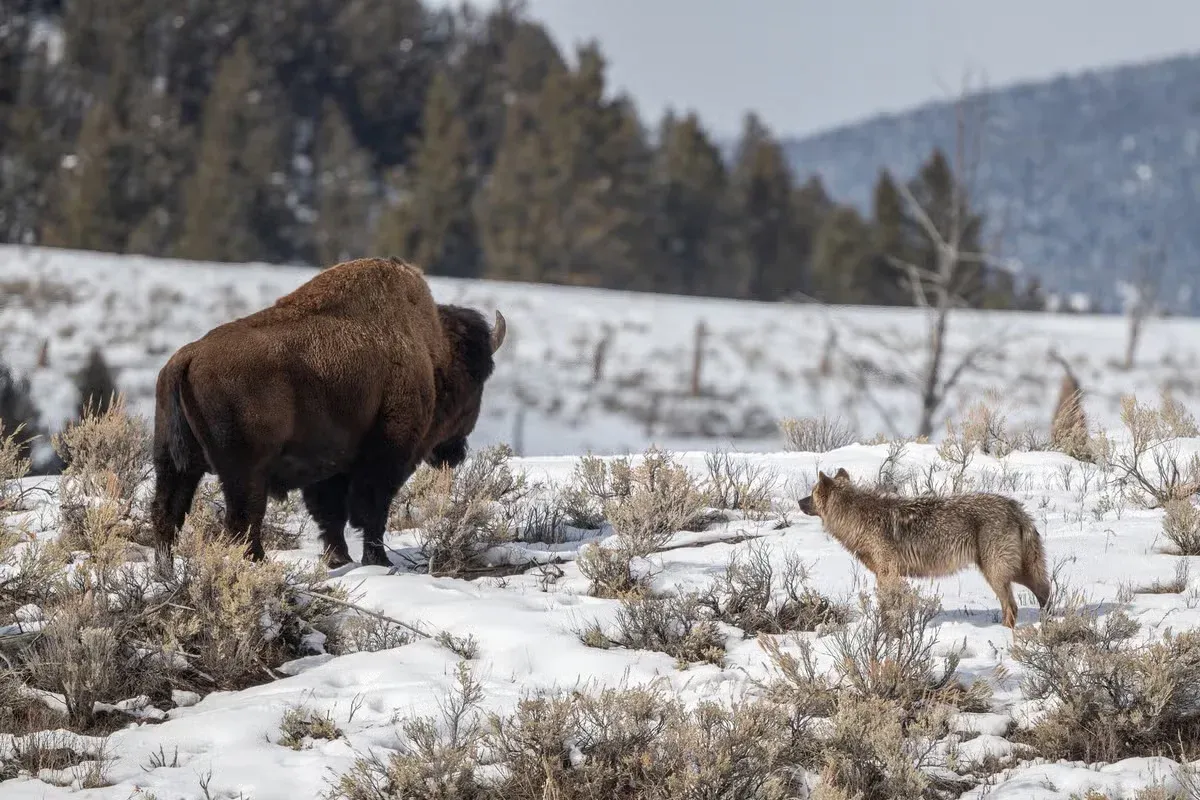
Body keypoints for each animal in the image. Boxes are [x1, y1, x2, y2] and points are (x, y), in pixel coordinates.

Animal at [149, 256, 507, 568]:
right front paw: (379, 562)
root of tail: (188, 357)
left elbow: (331, 516)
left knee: (168, 515)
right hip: (245, 470)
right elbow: (371, 513)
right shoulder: (383, 458)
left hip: (173, 463)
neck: (430, 354)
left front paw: (339, 559)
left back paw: (167, 572)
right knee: (241, 520)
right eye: (476, 381)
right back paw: (261, 565)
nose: (455, 452)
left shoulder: (329, 467)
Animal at [797, 468, 1051, 628]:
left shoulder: (887, 574)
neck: (857, 518)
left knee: (1013, 607)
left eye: (811, 493)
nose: (798, 502)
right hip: (1014, 572)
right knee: (1045, 591)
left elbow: (888, 610)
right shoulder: (890, 575)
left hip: (997, 574)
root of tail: (1015, 507)